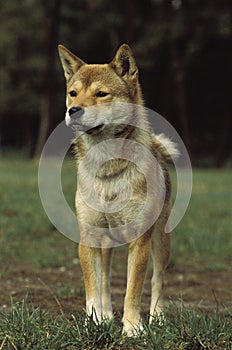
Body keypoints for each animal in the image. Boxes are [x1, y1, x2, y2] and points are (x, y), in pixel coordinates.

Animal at [58, 43, 178, 336]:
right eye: (73, 93)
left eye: (101, 94)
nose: (73, 110)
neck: (108, 172)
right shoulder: (89, 236)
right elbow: (94, 288)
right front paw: (95, 321)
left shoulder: (140, 240)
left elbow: (133, 290)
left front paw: (133, 328)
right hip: (106, 243)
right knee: (105, 279)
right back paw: (106, 315)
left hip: (161, 240)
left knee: (158, 279)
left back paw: (157, 317)